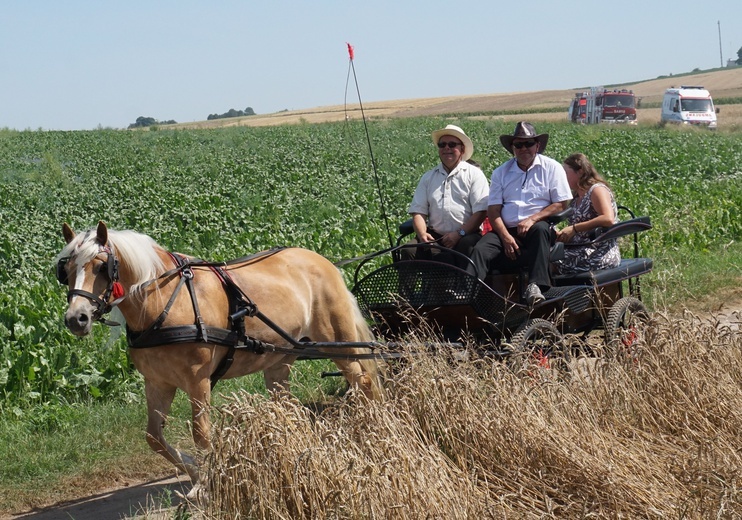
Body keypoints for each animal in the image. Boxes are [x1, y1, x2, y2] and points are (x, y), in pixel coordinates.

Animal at [56, 221, 384, 486]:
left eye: (101, 266)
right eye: (66, 271)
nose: (76, 318)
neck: (164, 302)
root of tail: (325, 262)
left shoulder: (198, 380)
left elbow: (201, 433)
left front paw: (209, 478)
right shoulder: (158, 382)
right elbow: (154, 437)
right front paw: (195, 471)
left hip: (338, 343)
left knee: (364, 385)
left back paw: (373, 435)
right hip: (281, 357)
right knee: (288, 407)